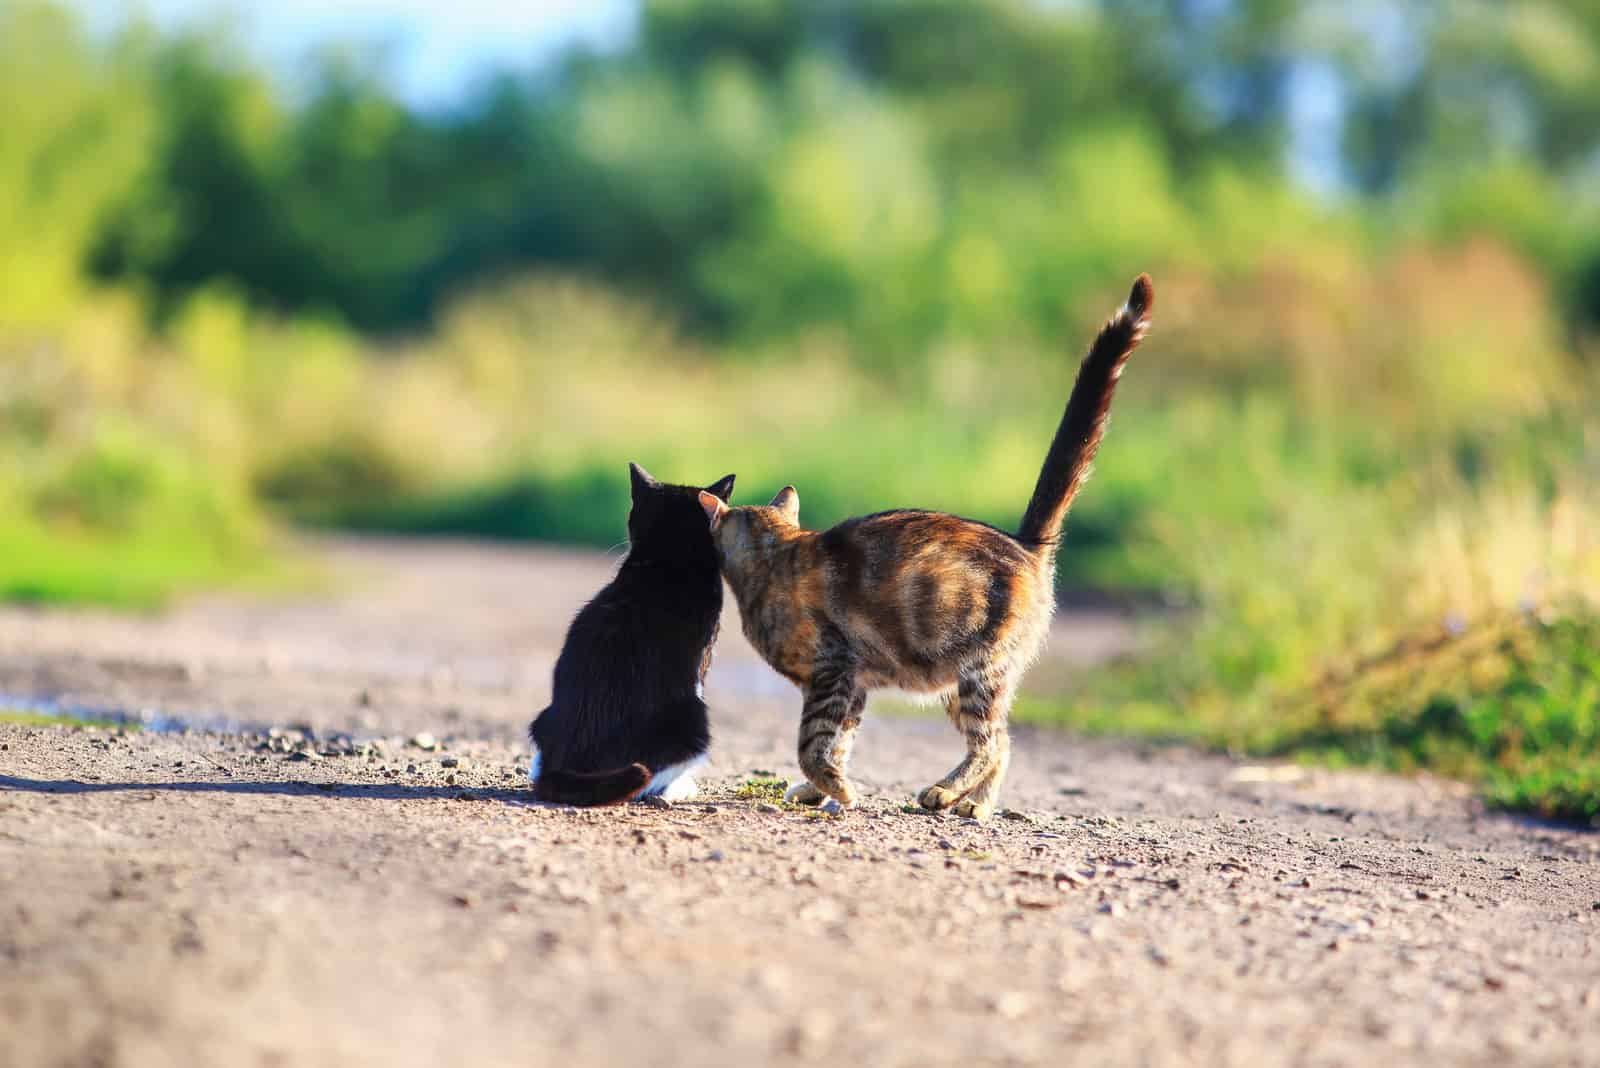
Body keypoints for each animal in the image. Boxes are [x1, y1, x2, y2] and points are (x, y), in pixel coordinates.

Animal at [697, 273, 1152, 818]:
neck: (774, 555)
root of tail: (1025, 543)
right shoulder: (852, 685)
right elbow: (839, 741)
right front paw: (820, 790)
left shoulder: (832, 671)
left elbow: (813, 743)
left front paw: (834, 787)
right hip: (960, 683)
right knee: (1003, 739)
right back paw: (976, 805)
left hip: (979, 669)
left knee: (991, 740)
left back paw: (947, 792)